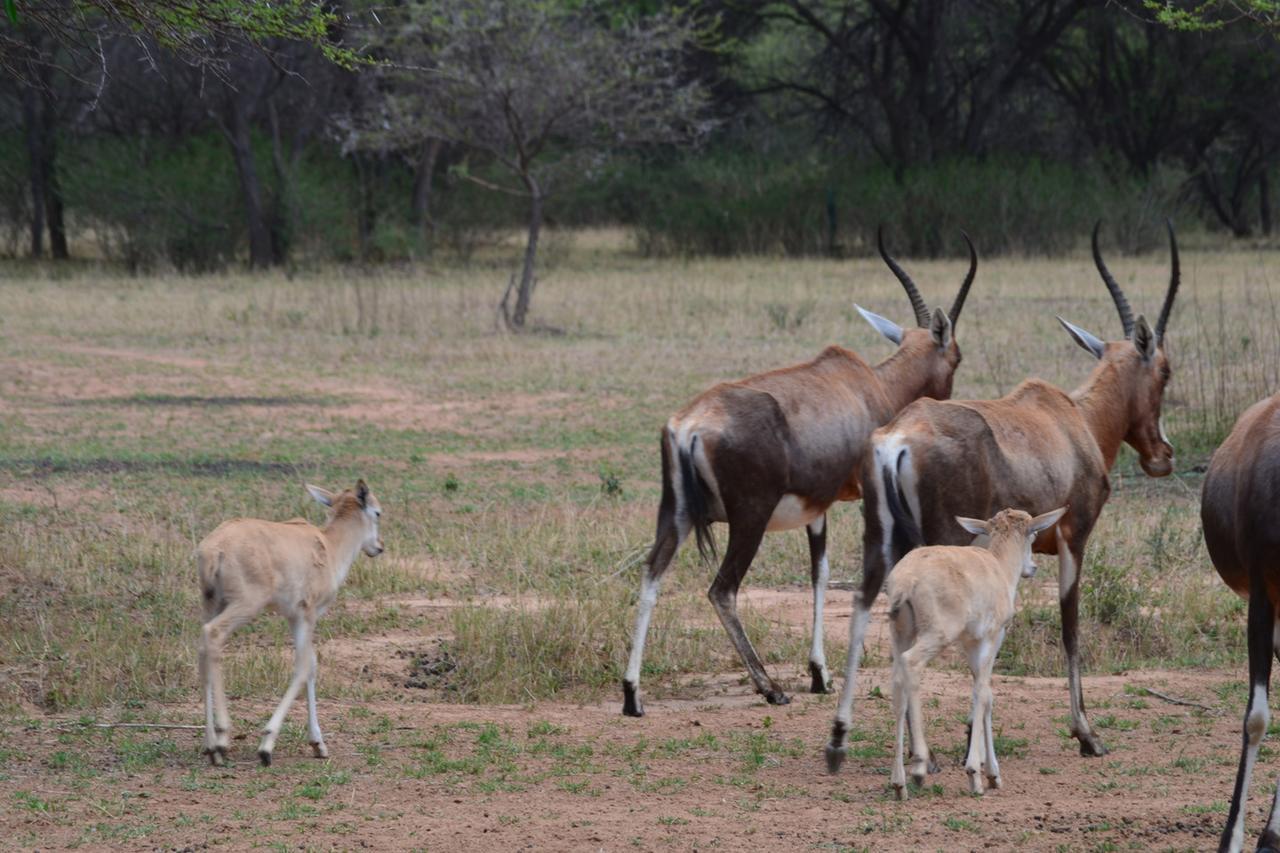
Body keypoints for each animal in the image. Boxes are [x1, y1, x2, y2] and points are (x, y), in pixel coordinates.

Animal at [194, 479, 381, 763]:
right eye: (378, 513)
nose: (378, 547)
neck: (328, 545)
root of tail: (214, 549)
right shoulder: (307, 613)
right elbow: (303, 666)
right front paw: (267, 745)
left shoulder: (293, 617)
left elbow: (311, 665)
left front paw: (318, 744)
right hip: (245, 604)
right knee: (212, 635)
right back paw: (223, 738)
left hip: (211, 603)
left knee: (203, 646)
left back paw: (210, 745)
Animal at [622, 229, 977, 712]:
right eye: (956, 357)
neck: (869, 385)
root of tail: (690, 423)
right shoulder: (867, 499)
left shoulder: (817, 506)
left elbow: (820, 575)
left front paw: (819, 674)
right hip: (749, 519)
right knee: (722, 590)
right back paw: (769, 687)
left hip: (674, 516)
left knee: (651, 573)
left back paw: (632, 694)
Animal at [829, 219, 1177, 763]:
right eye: (1165, 370)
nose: (1162, 455)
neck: (1071, 419)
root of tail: (898, 435)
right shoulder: (1074, 541)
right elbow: (1068, 627)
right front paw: (1085, 733)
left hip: (877, 540)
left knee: (863, 612)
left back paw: (841, 739)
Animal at [885, 504, 1064, 799]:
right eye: (1034, 534)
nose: (1033, 568)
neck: (997, 565)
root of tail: (906, 579)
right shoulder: (992, 638)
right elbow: (983, 694)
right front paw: (979, 774)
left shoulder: (971, 644)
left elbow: (984, 693)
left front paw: (989, 772)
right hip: (935, 635)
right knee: (911, 665)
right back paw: (920, 767)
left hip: (901, 635)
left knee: (898, 680)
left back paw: (899, 783)